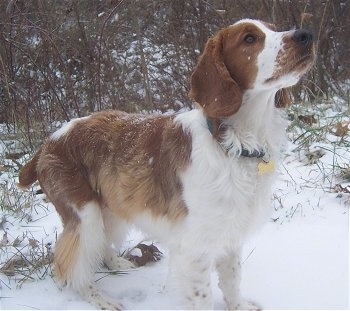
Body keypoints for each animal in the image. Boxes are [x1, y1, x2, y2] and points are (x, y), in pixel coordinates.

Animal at [18, 18, 314, 310]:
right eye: (249, 39)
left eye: (274, 28)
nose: (305, 35)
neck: (234, 144)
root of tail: (46, 144)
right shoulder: (195, 249)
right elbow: (204, 298)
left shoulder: (229, 236)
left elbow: (232, 281)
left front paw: (240, 306)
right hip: (84, 215)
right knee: (69, 266)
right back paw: (100, 299)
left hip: (110, 207)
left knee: (100, 246)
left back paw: (117, 262)